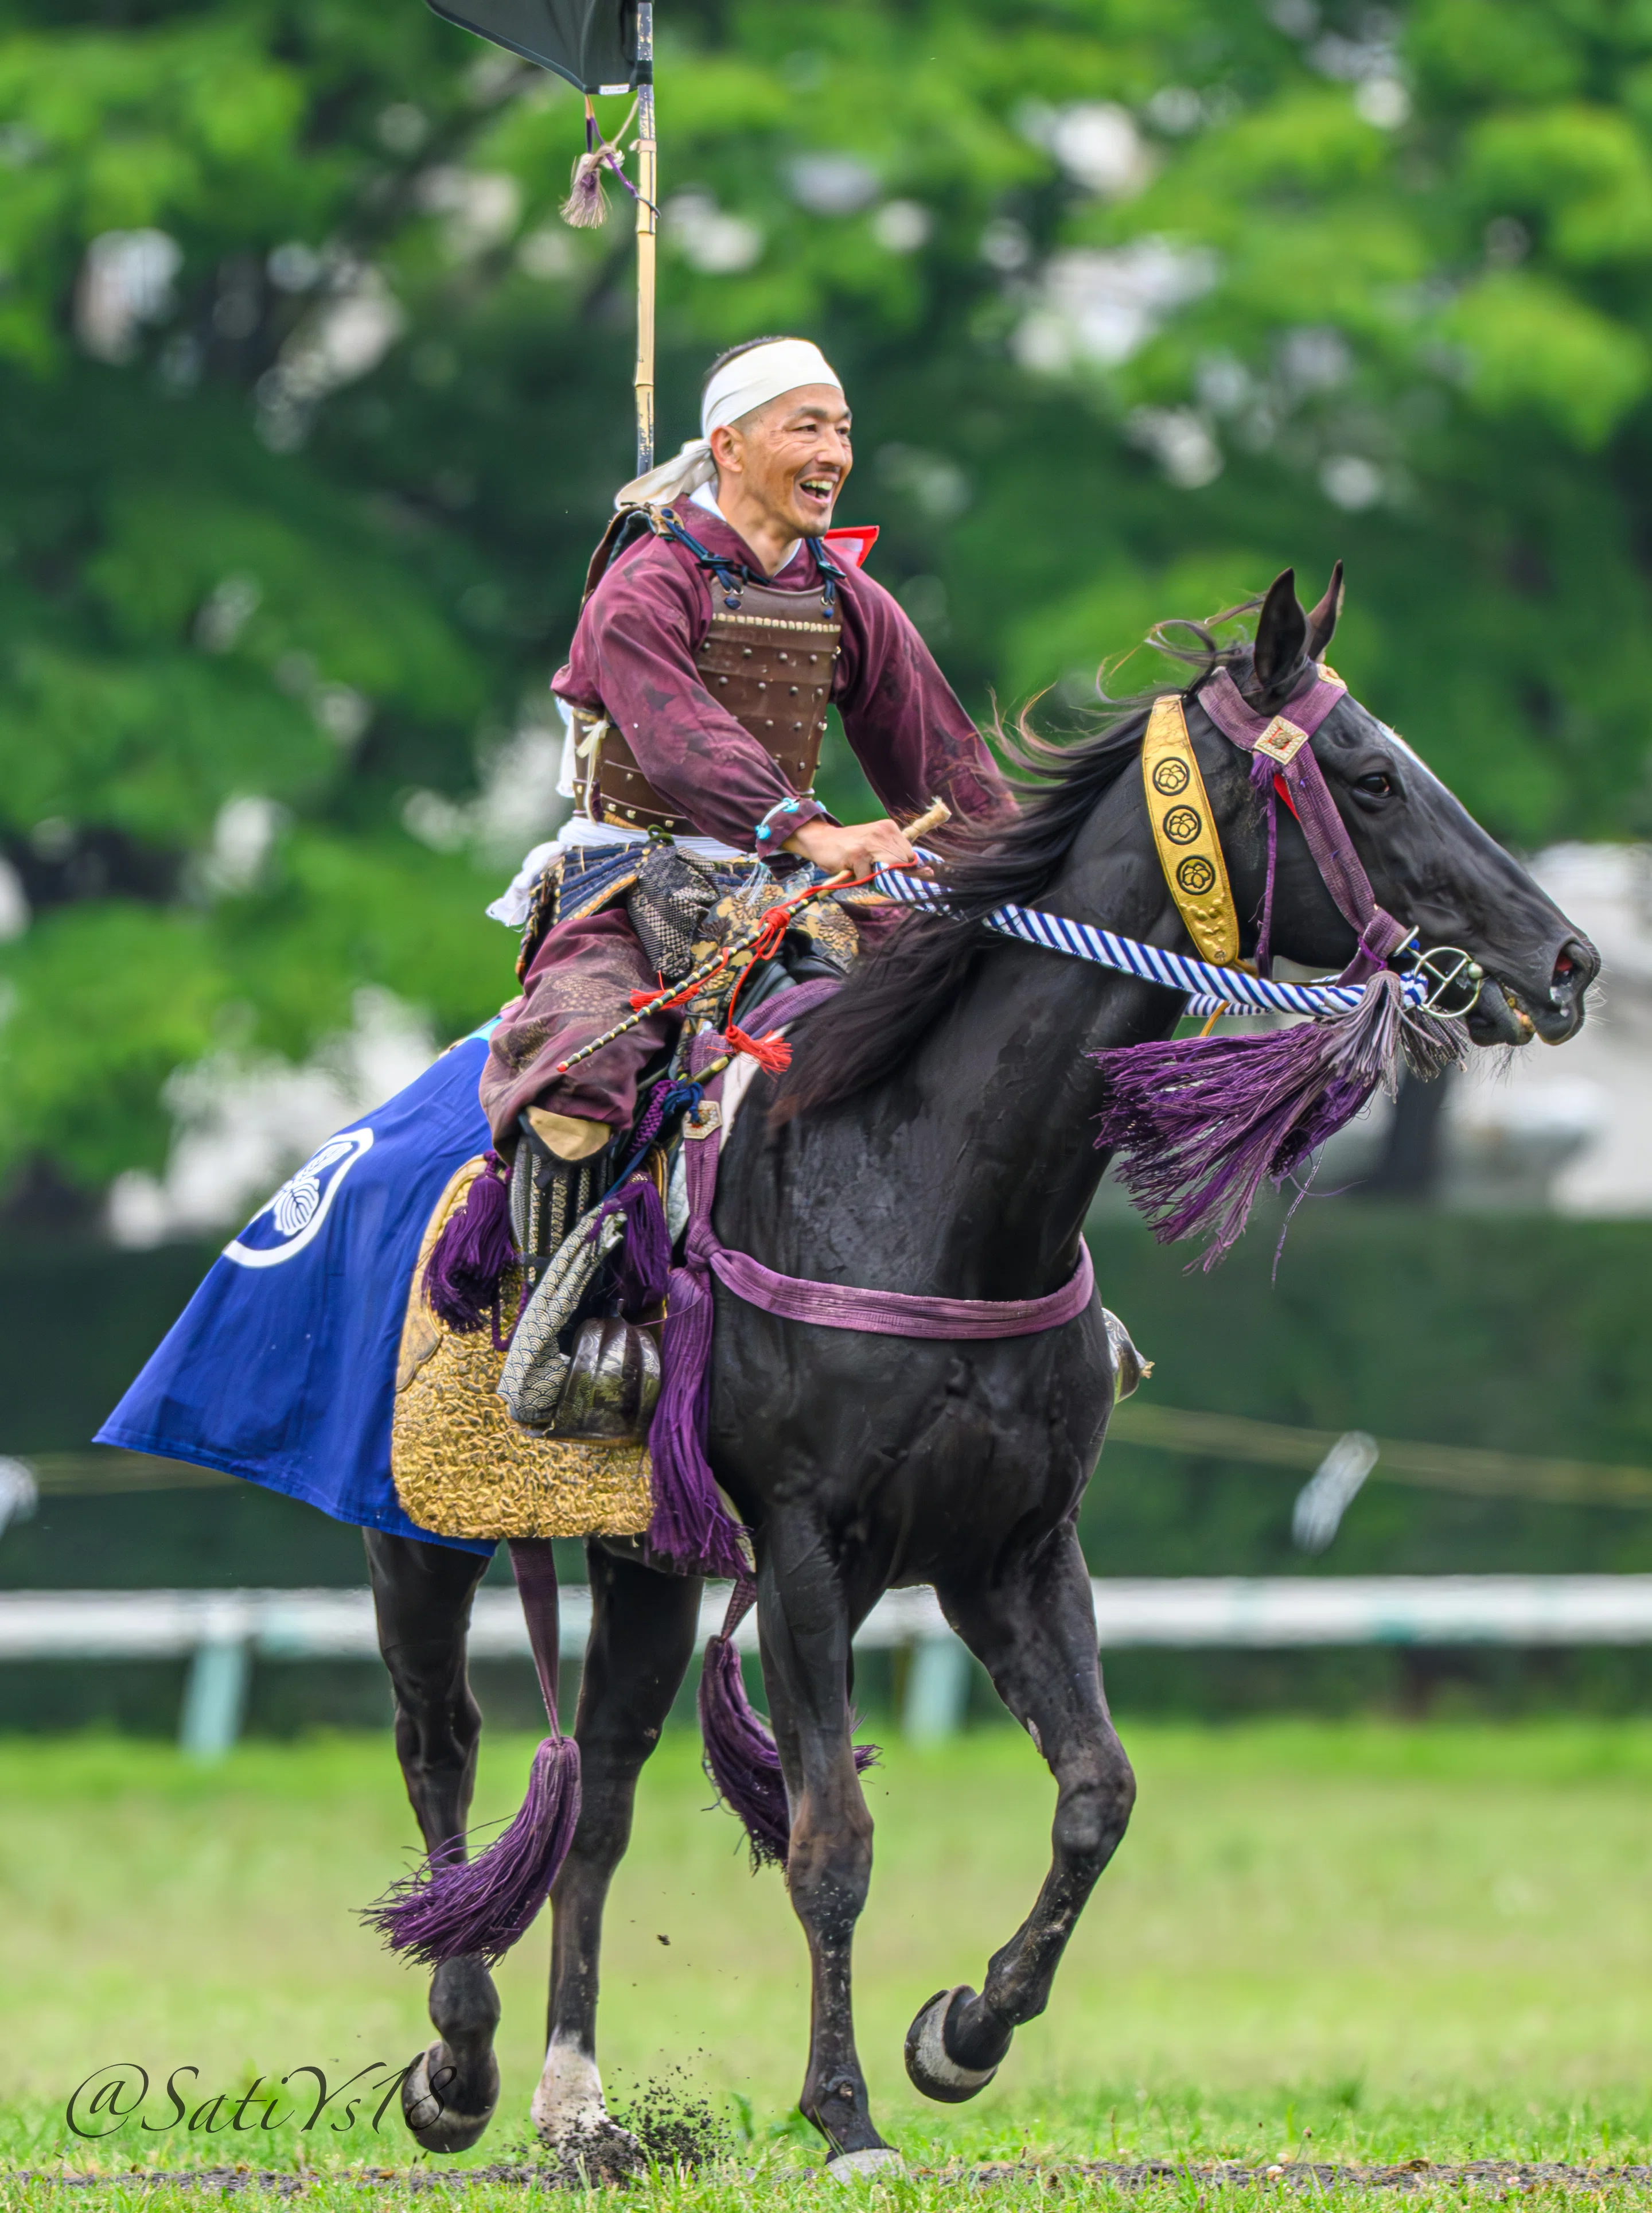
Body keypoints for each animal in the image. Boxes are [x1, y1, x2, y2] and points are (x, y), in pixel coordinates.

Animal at [365, 568, 1597, 2171]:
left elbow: (1097, 1793)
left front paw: (963, 2028)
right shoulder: (810, 1551)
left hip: (645, 1557)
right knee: (441, 1742)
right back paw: (457, 2059)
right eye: (1371, 774)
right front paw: (843, 2111)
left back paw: (580, 2104)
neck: (927, 1178)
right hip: (417, 1530)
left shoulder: (1011, 1545)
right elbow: (830, 1837)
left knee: (605, 1784)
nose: (1568, 962)